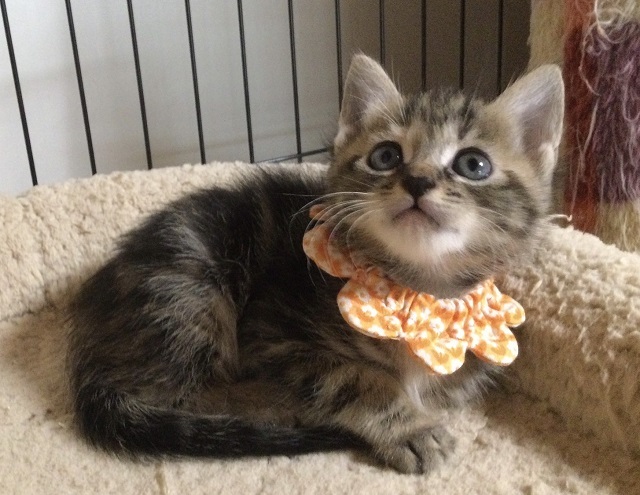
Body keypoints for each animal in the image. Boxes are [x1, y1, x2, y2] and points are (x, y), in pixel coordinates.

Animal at [67, 54, 564, 474]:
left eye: (473, 164)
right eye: (386, 156)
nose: (418, 180)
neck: (417, 288)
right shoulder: (269, 335)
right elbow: (352, 377)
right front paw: (410, 427)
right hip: (191, 288)